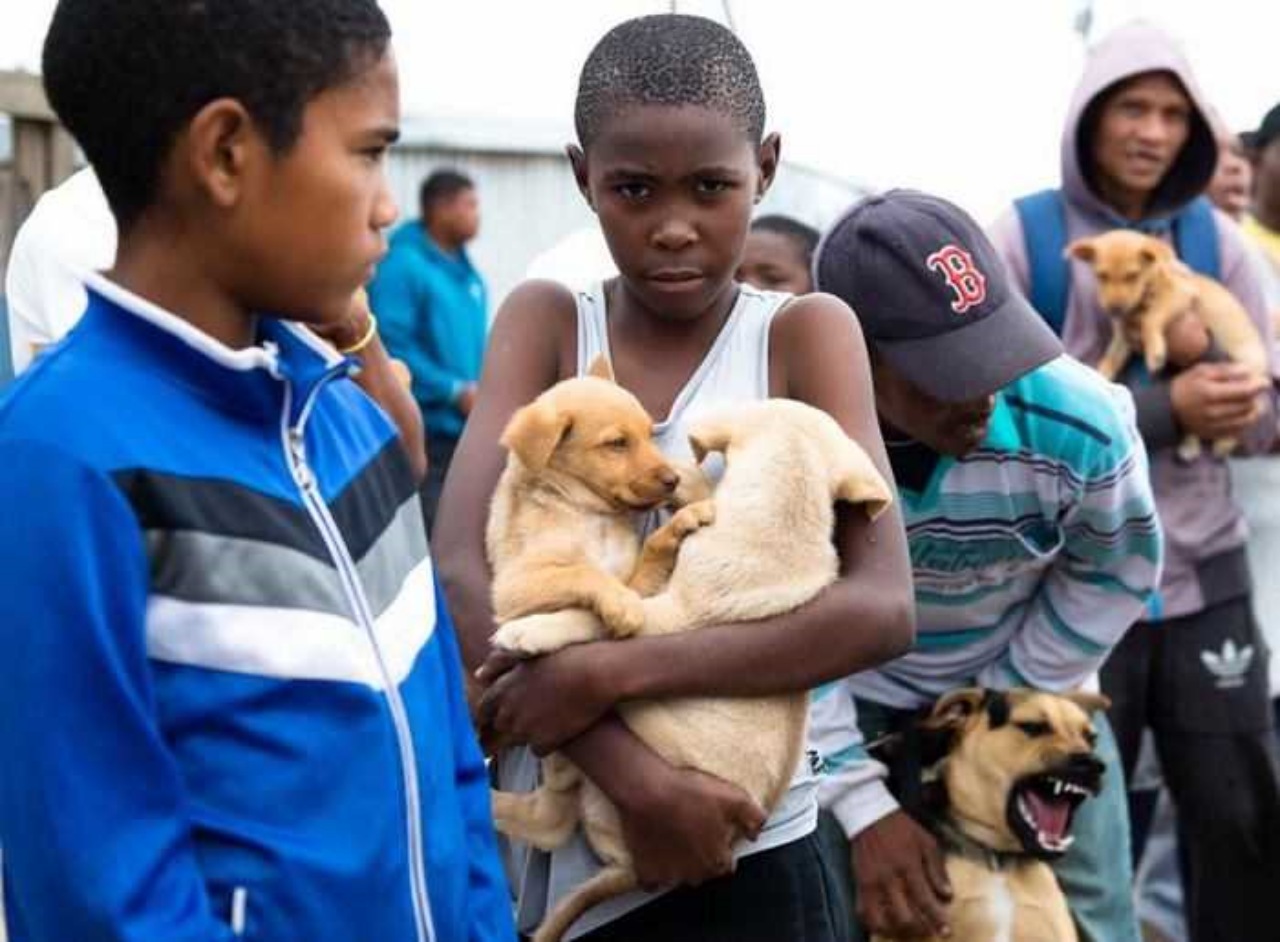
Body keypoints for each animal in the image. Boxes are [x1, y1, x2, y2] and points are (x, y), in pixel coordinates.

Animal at [491, 396, 901, 941]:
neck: (788, 508)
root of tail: (628, 873)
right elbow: (702, 498)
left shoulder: (665, 617)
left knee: (555, 817)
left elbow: (598, 616)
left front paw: (529, 631)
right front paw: (688, 486)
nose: (667, 473)